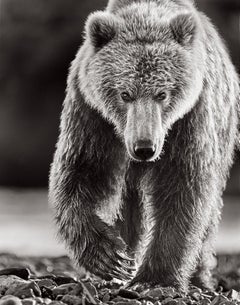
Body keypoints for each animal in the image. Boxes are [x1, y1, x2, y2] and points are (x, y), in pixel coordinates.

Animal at [49, 0, 240, 290]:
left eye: (162, 93)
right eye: (124, 93)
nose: (144, 147)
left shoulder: (189, 121)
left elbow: (182, 188)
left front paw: (155, 277)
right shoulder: (92, 116)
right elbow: (83, 171)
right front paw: (107, 255)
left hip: (224, 129)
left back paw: (200, 276)